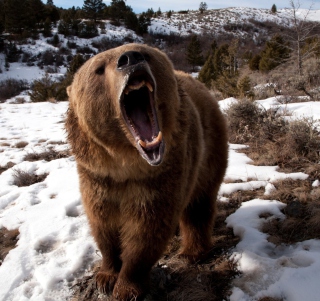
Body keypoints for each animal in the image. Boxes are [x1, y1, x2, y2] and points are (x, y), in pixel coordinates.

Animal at [65, 43, 228, 298]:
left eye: (145, 53)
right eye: (98, 69)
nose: (130, 58)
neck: (125, 165)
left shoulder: (159, 177)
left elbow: (146, 230)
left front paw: (126, 287)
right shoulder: (97, 177)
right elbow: (103, 224)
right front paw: (106, 276)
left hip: (208, 150)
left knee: (199, 204)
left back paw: (191, 252)